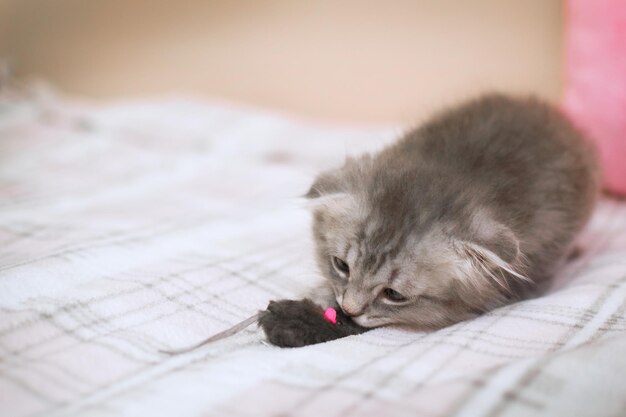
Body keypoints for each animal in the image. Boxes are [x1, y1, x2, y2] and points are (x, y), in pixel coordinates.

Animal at [260, 93, 600, 348]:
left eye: (394, 295)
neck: (458, 175)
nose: (349, 308)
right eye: (341, 265)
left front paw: (296, 321)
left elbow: (363, 325)